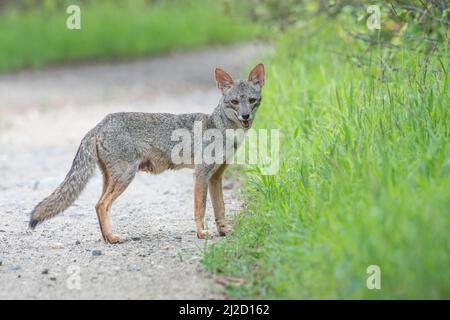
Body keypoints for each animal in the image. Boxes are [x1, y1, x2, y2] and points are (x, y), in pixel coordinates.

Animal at [28, 63, 264, 242]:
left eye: (252, 101)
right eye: (235, 102)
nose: (245, 116)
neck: (222, 130)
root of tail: (99, 124)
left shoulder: (216, 177)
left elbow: (220, 209)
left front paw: (224, 231)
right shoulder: (201, 174)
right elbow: (201, 208)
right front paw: (201, 233)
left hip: (111, 179)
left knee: (98, 205)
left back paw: (106, 236)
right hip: (125, 177)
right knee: (101, 205)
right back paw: (112, 238)